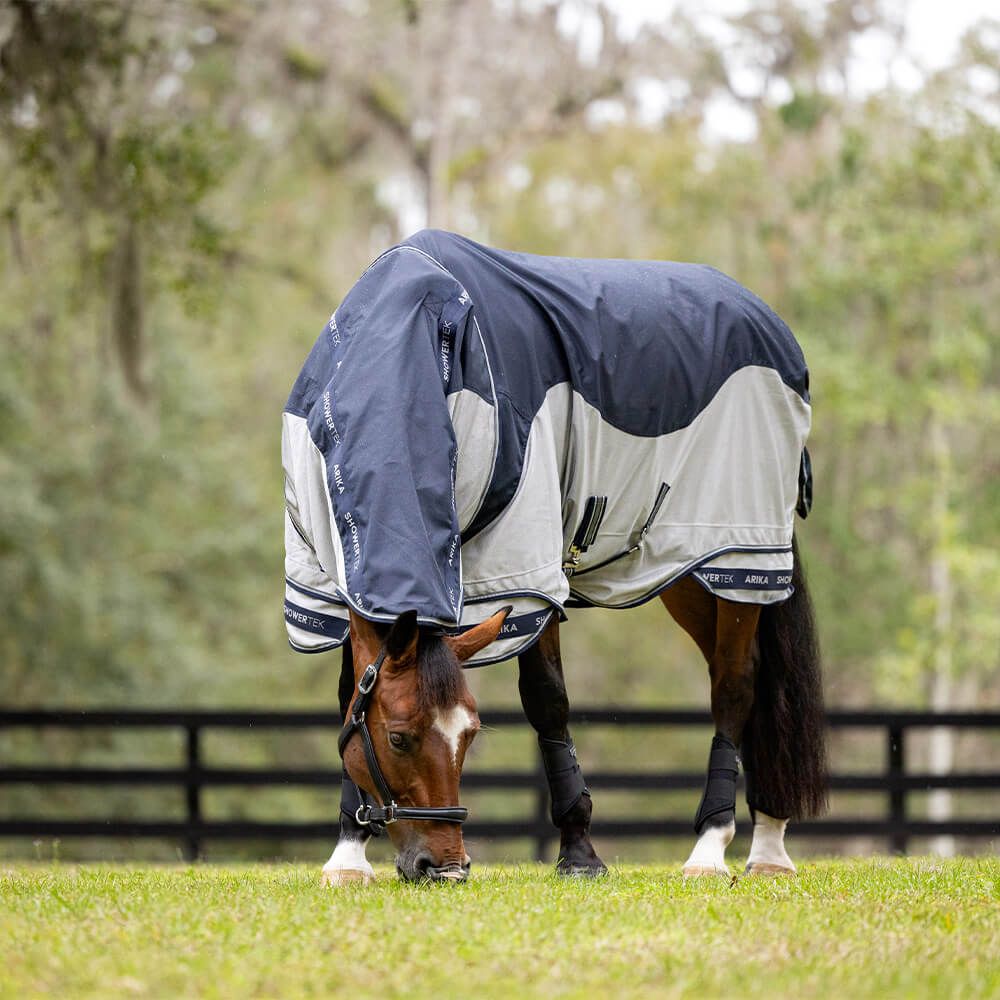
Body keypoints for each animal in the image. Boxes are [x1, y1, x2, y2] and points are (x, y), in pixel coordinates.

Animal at [281, 229, 829, 884]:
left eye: (469, 736)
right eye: (399, 738)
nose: (445, 867)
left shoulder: (527, 576)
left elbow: (548, 701)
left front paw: (580, 851)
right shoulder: (332, 587)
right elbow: (349, 698)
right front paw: (347, 855)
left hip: (741, 559)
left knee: (736, 686)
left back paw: (714, 848)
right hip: (690, 577)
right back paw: (768, 847)